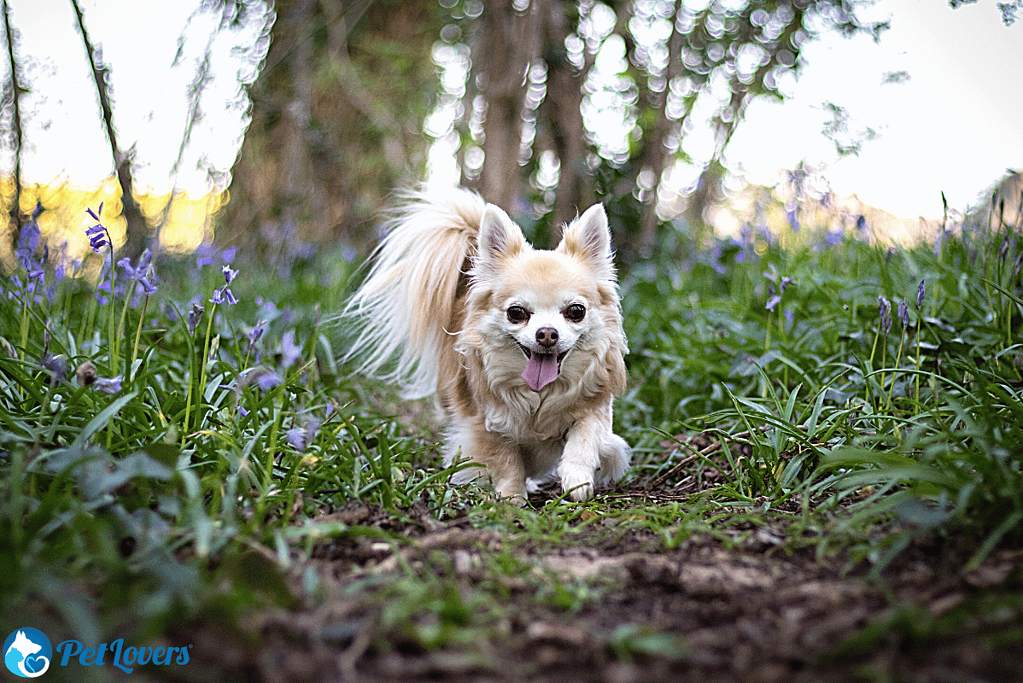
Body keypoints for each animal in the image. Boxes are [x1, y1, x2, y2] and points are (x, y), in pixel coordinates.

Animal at [343, 189, 626, 505]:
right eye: (516, 313)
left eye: (576, 311)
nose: (547, 334)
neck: (539, 394)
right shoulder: (485, 422)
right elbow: (506, 461)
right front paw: (512, 500)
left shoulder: (596, 405)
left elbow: (585, 434)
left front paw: (577, 478)